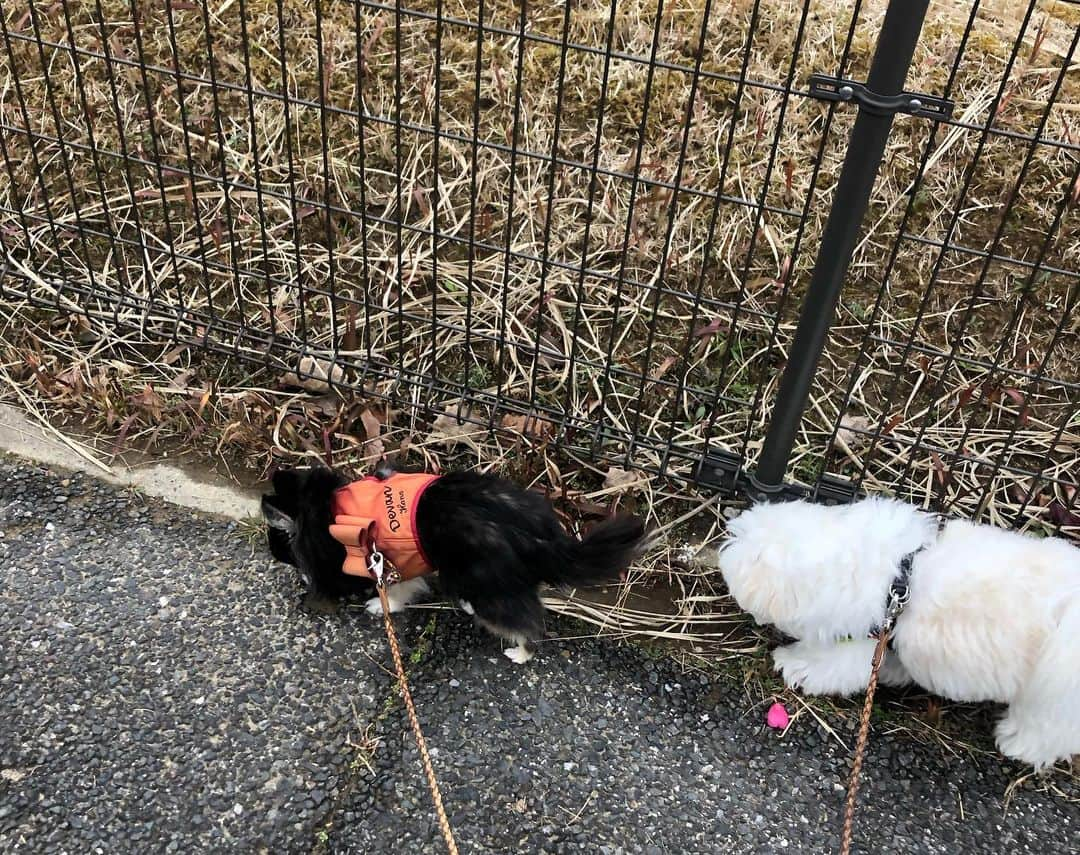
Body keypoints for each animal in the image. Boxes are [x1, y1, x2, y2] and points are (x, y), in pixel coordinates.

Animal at [261, 468, 648, 660]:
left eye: (280, 547)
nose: (274, 557)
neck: (328, 510)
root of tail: (545, 540)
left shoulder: (387, 561)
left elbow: (395, 592)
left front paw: (380, 605)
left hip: (487, 584)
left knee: (527, 623)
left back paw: (519, 653)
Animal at [717, 494, 1080, 768]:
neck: (897, 578)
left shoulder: (860, 643)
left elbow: (829, 667)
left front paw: (794, 665)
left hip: (1052, 695)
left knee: (1045, 730)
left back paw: (1016, 743)